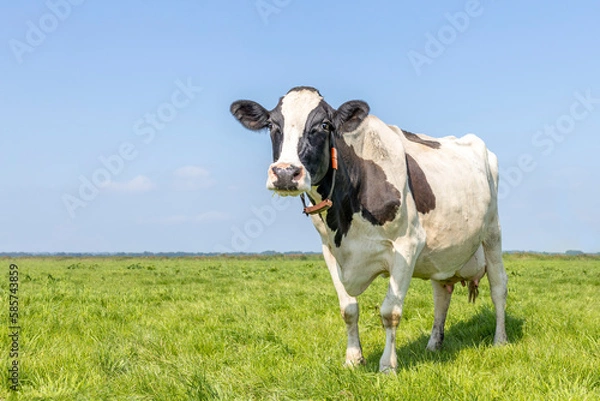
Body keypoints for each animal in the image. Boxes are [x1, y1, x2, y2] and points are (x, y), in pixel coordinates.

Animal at [230, 85, 506, 372]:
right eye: (272, 125)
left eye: (324, 125)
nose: (285, 173)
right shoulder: (330, 250)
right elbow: (348, 309)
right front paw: (353, 359)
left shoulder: (407, 245)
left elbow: (390, 312)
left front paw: (387, 366)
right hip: (442, 254)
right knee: (442, 294)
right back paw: (433, 345)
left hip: (492, 232)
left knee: (499, 287)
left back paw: (499, 340)